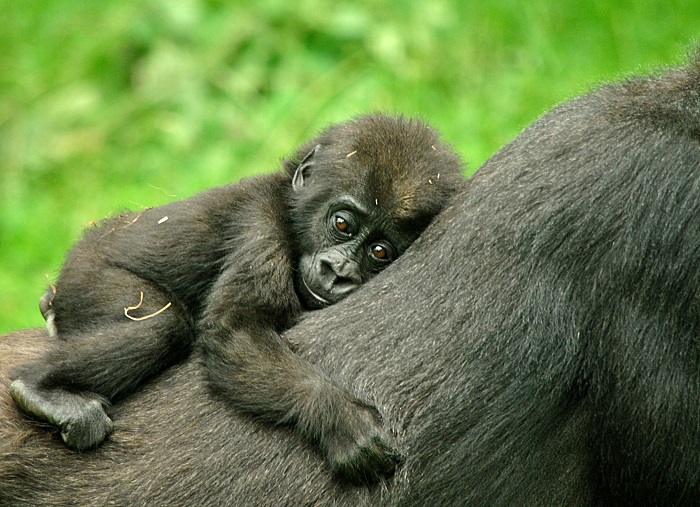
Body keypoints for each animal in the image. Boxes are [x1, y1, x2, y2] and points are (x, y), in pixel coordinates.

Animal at [9, 114, 464, 484]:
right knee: (159, 326)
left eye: (380, 252)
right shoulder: (260, 227)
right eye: (341, 224)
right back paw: (37, 386)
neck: (289, 208)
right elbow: (236, 332)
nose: (339, 273)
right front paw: (338, 416)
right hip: (87, 272)